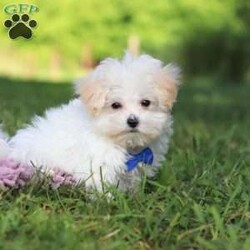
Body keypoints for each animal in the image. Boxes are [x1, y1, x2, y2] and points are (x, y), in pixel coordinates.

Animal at [2, 52, 181, 189]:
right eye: (115, 105)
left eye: (146, 103)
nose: (133, 121)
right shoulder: (97, 164)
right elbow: (101, 183)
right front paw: (108, 202)